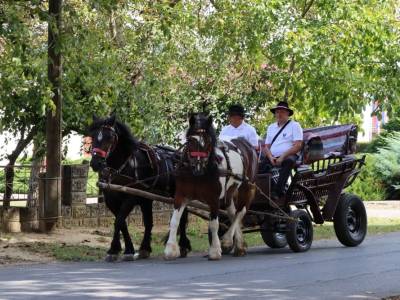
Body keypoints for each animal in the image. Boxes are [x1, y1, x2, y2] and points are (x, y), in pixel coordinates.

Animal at [88, 113, 191, 262]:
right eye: (92, 136)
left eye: (110, 137)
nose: (96, 163)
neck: (124, 165)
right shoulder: (110, 200)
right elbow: (122, 223)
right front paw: (125, 249)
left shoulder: (130, 198)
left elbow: (119, 221)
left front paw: (115, 249)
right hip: (146, 198)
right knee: (149, 222)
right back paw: (144, 249)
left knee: (182, 217)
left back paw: (183, 245)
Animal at [164, 113, 258, 260]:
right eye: (190, 140)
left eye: (208, 142)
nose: (197, 167)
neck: (197, 174)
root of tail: (247, 145)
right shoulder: (181, 196)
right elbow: (174, 221)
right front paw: (171, 250)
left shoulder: (214, 199)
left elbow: (214, 224)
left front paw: (215, 250)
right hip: (230, 191)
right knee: (232, 213)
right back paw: (239, 246)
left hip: (247, 187)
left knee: (240, 212)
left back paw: (227, 240)